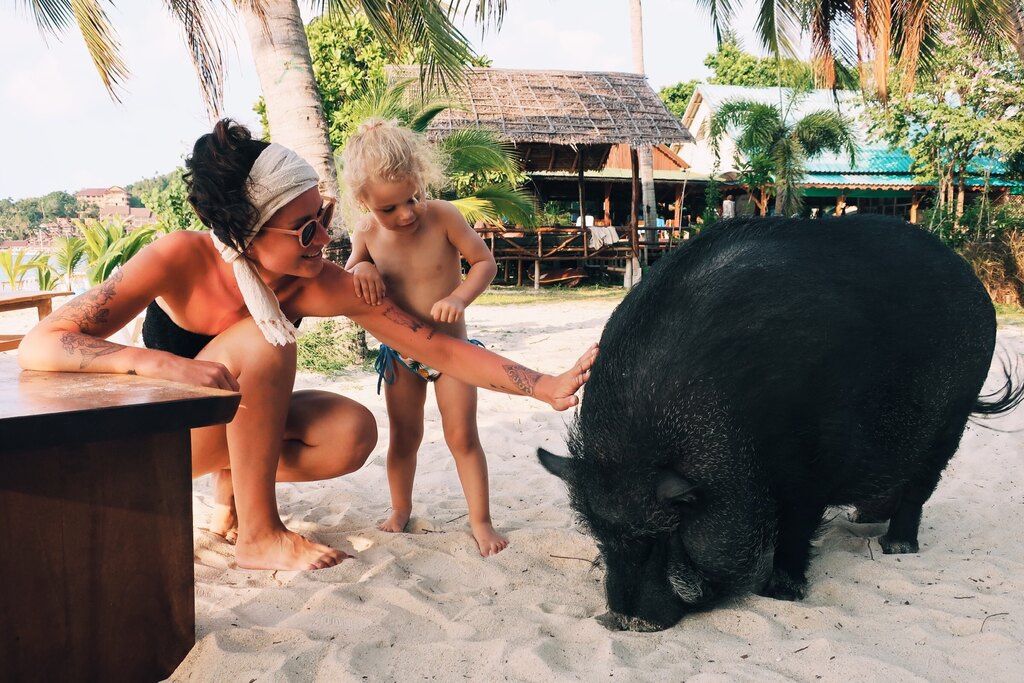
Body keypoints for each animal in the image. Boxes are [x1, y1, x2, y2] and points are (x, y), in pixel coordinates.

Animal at [540, 216, 1019, 634]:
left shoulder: (810, 465)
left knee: (920, 486)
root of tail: (972, 280)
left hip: (951, 418)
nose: (627, 622)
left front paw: (781, 594)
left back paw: (898, 547)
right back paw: (865, 519)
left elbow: (797, 525)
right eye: (600, 534)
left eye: (665, 532)